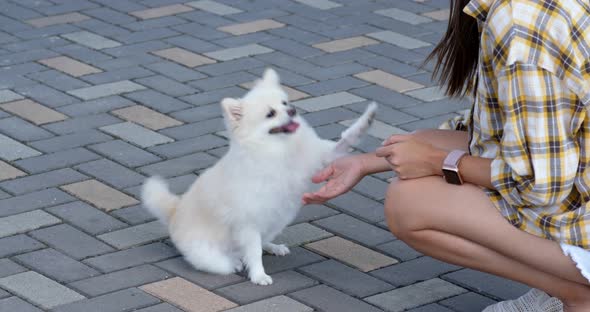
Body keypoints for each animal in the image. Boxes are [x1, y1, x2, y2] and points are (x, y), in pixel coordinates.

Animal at [141, 69, 376, 286]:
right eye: (270, 114)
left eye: (285, 103)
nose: (292, 110)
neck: (279, 148)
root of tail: (174, 213)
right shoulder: (248, 222)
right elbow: (253, 252)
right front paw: (258, 275)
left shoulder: (321, 157)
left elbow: (346, 139)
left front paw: (367, 119)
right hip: (207, 253)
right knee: (226, 261)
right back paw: (235, 261)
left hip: (275, 221)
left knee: (263, 240)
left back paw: (272, 247)